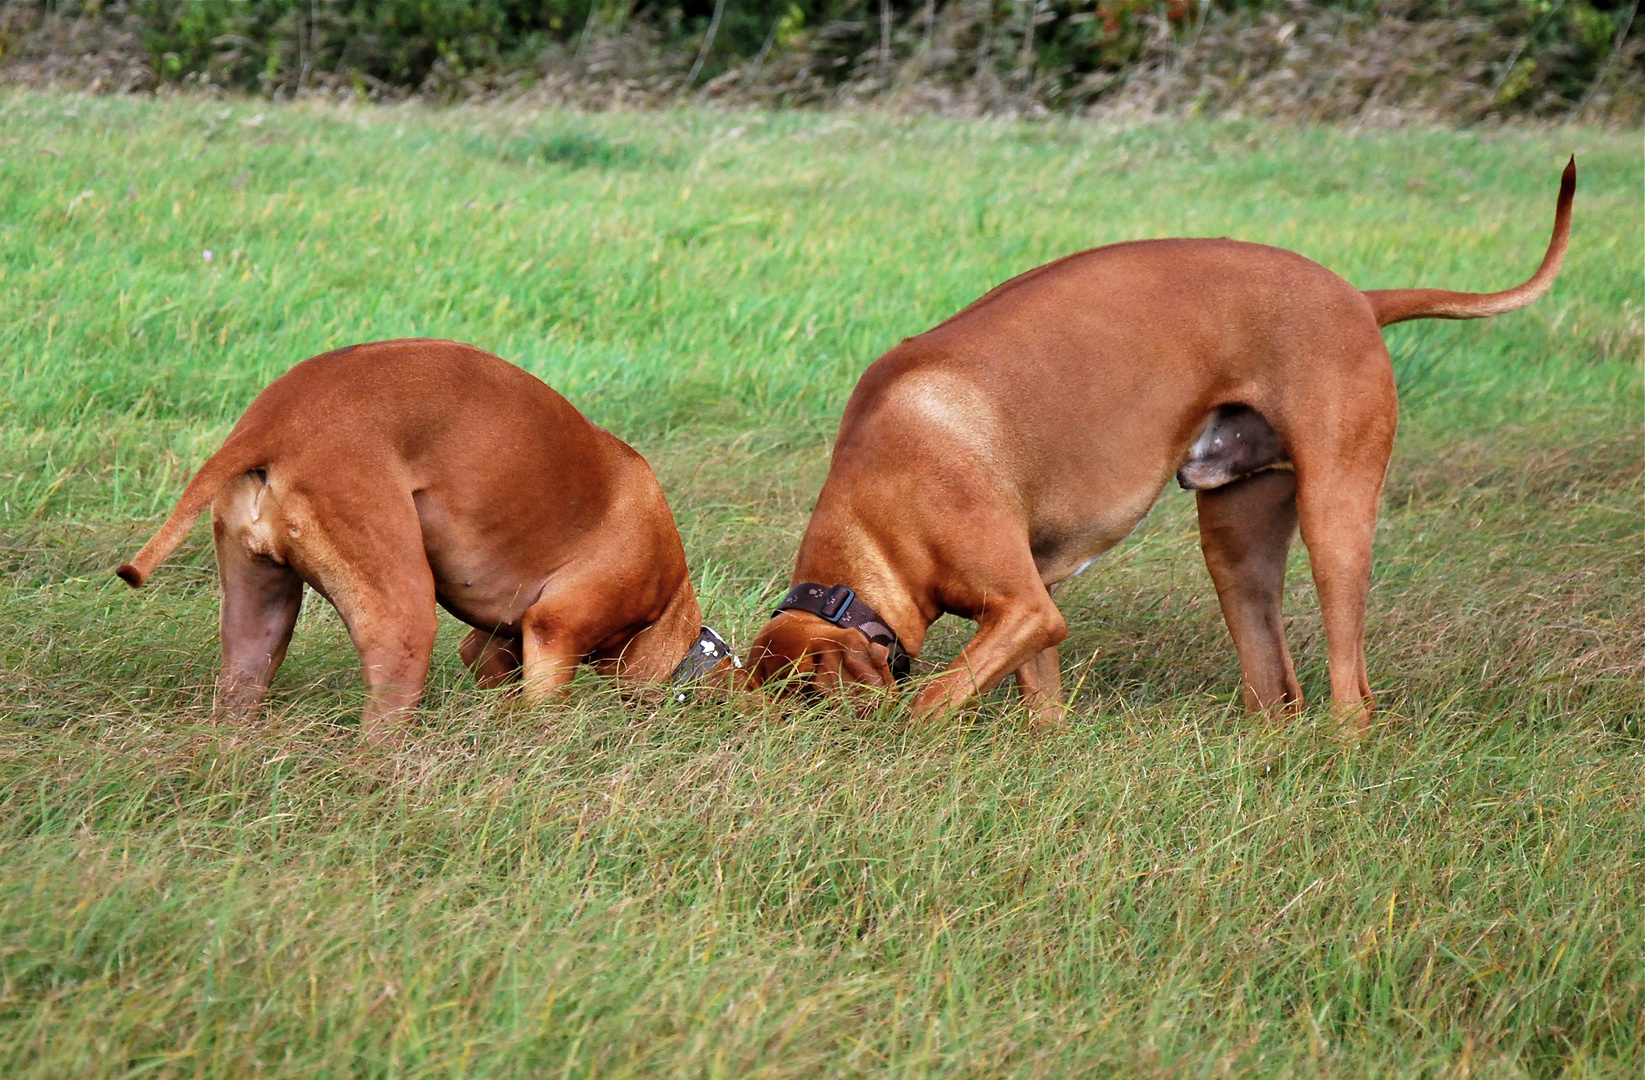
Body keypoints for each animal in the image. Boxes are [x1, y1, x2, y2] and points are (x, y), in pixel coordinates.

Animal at [115, 338, 733, 743]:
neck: (666, 606)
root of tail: (274, 421)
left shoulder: (493, 644)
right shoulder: (556, 635)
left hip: (257, 618)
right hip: (402, 620)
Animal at [750, 157, 1579, 733]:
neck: (878, 507)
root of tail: (1357, 297)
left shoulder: (1023, 606)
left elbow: (934, 700)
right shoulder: (1031, 610)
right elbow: (1039, 702)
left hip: (1335, 518)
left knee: (1352, 692)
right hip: (1236, 538)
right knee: (1274, 687)